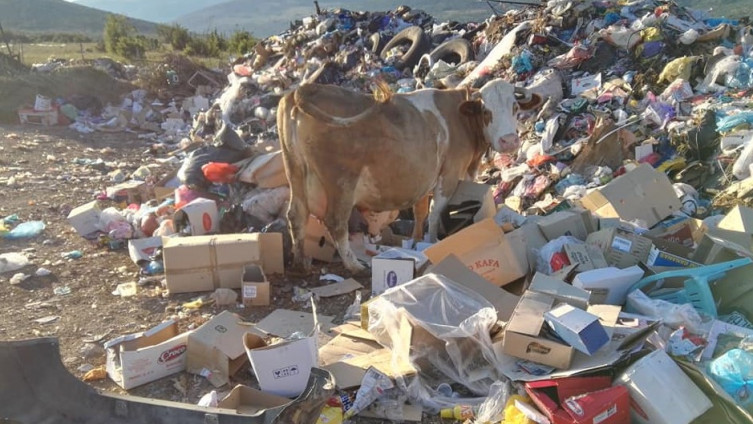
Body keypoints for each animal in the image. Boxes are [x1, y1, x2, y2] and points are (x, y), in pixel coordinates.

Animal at [276, 79, 540, 272]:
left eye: (515, 107)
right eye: (486, 111)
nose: (509, 140)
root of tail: (306, 88)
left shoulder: (423, 178)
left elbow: (420, 212)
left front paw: (415, 243)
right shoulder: (450, 173)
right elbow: (435, 212)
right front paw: (432, 242)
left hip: (294, 171)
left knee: (296, 215)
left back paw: (301, 262)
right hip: (341, 183)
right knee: (335, 222)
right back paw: (354, 265)